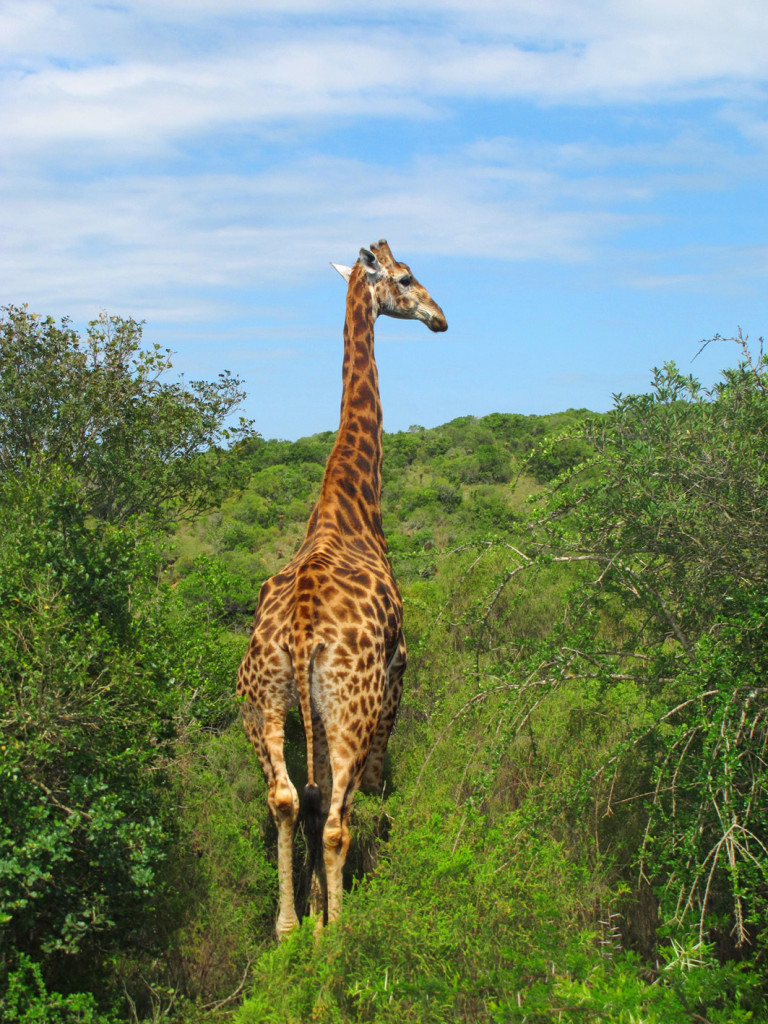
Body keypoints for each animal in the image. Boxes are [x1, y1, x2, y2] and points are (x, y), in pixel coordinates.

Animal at [237, 239, 448, 937]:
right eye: (406, 278)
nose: (440, 317)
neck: (350, 507)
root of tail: (302, 633)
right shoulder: (399, 671)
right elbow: (376, 786)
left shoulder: (314, 713)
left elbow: (311, 794)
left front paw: (310, 908)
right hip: (352, 705)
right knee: (334, 821)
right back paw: (337, 933)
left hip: (263, 704)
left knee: (284, 798)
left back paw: (290, 927)